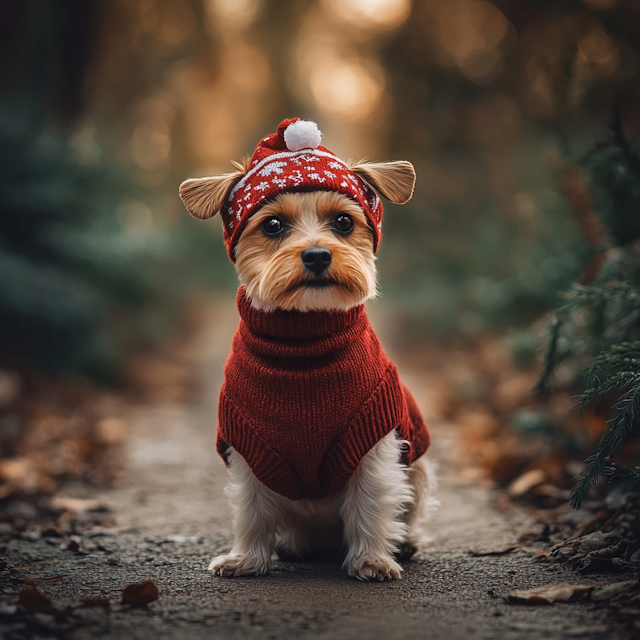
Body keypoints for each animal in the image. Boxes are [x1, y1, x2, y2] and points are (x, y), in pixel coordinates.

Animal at [180, 119, 440, 580]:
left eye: (343, 222)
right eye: (272, 226)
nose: (317, 254)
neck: (304, 344)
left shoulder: (372, 442)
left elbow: (370, 506)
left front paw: (372, 559)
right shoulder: (250, 447)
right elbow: (252, 511)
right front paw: (247, 558)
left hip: (420, 468)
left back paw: (403, 544)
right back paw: (296, 545)